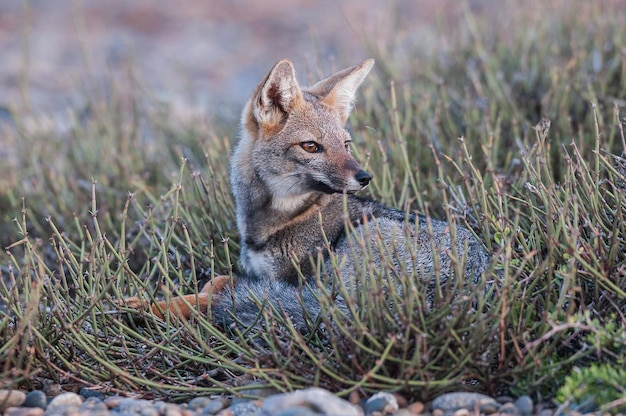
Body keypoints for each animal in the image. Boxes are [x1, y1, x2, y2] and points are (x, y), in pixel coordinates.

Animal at [123, 58, 492, 328]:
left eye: (345, 144)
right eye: (311, 146)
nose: (364, 177)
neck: (273, 224)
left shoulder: (293, 282)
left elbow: (209, 291)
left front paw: (145, 303)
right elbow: (218, 282)